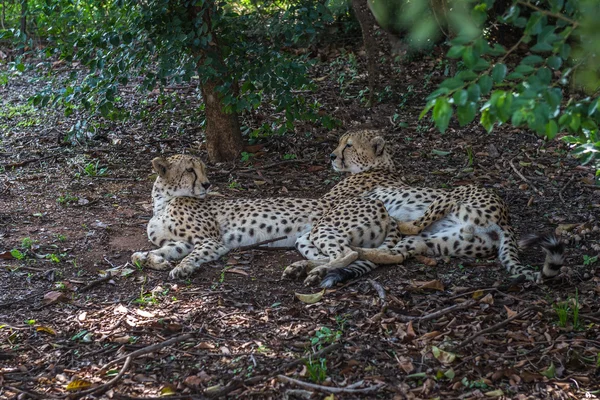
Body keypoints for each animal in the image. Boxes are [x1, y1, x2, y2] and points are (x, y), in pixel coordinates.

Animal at [132, 155, 394, 280]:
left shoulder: (212, 241)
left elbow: (192, 256)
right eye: (189, 170)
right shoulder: (181, 242)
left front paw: (183, 268)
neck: (163, 201)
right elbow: (143, 254)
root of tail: (381, 205)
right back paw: (300, 268)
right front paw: (155, 260)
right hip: (305, 238)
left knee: (347, 254)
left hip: (324, 228)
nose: (207, 184)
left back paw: (316, 273)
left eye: (203, 169)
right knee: (332, 255)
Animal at [316, 130, 564, 286]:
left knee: (416, 225)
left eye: (348, 145)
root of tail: (507, 222)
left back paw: (397, 224)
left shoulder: (327, 201)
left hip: (456, 194)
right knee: (397, 255)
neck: (381, 165)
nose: (332, 156)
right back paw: (361, 252)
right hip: (442, 241)